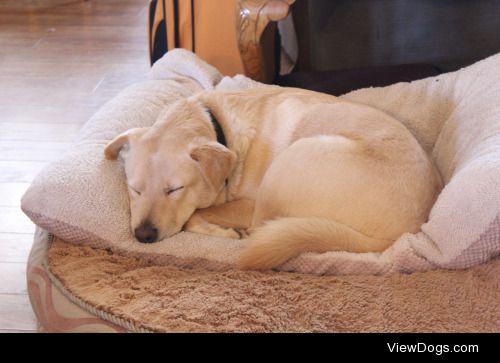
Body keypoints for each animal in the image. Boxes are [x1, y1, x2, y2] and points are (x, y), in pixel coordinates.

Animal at [104, 87, 442, 270]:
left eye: (175, 189)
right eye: (134, 189)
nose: (143, 236)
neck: (217, 126)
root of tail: (401, 233)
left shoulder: (245, 203)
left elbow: (193, 216)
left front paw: (222, 230)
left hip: (294, 157)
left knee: (257, 227)